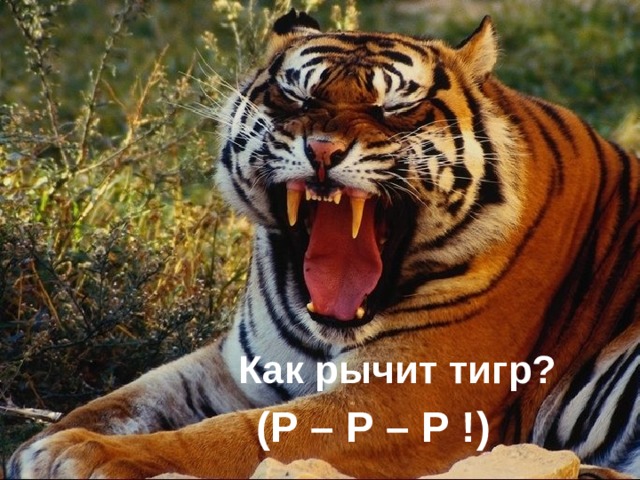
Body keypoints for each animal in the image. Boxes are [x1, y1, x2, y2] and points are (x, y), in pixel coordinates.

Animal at [7, 8, 639, 479]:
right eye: (296, 98)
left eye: (396, 107)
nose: (323, 149)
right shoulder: (236, 368)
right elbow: (130, 396)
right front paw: (41, 442)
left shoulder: (407, 403)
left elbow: (234, 437)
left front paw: (78, 453)